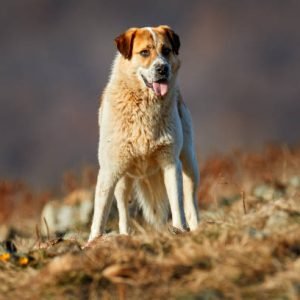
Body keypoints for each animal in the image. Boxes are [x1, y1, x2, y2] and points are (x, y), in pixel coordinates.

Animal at [89, 25, 202, 241]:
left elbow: (177, 202)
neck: (144, 106)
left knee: (190, 200)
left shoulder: (170, 162)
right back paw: (124, 234)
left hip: (189, 161)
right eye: (144, 52)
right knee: (123, 208)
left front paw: (179, 229)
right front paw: (92, 242)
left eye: (166, 50)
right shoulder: (109, 170)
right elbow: (100, 212)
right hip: (123, 180)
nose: (162, 68)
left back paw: (195, 228)